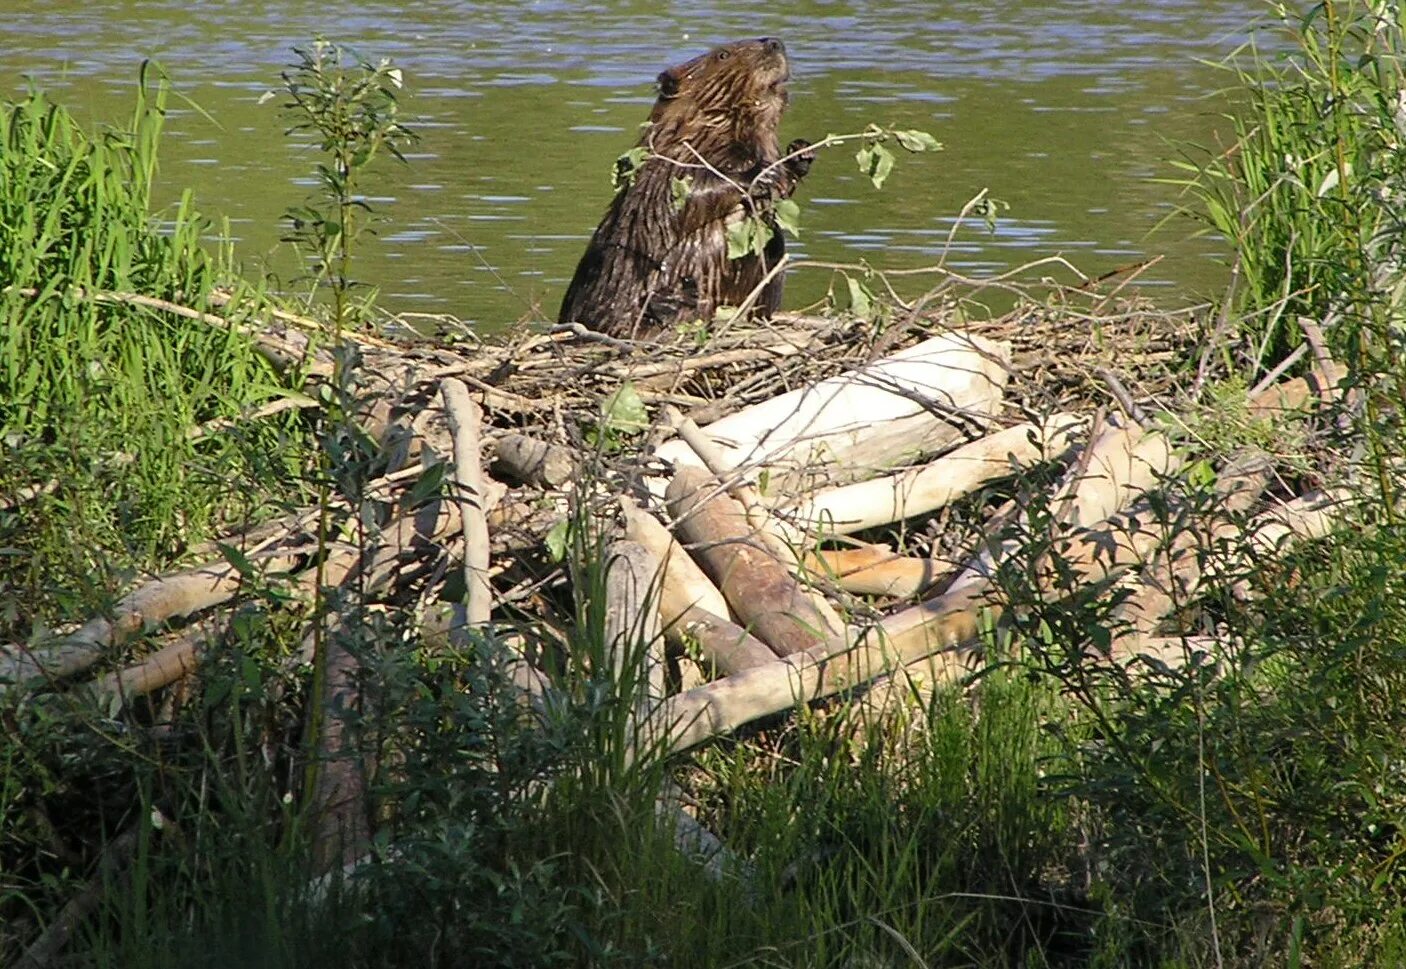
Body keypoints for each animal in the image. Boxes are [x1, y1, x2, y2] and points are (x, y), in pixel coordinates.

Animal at [553, 36, 809, 340]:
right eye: (722, 54)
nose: (774, 42)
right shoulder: (666, 162)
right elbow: (678, 198)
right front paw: (760, 174)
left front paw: (799, 154)